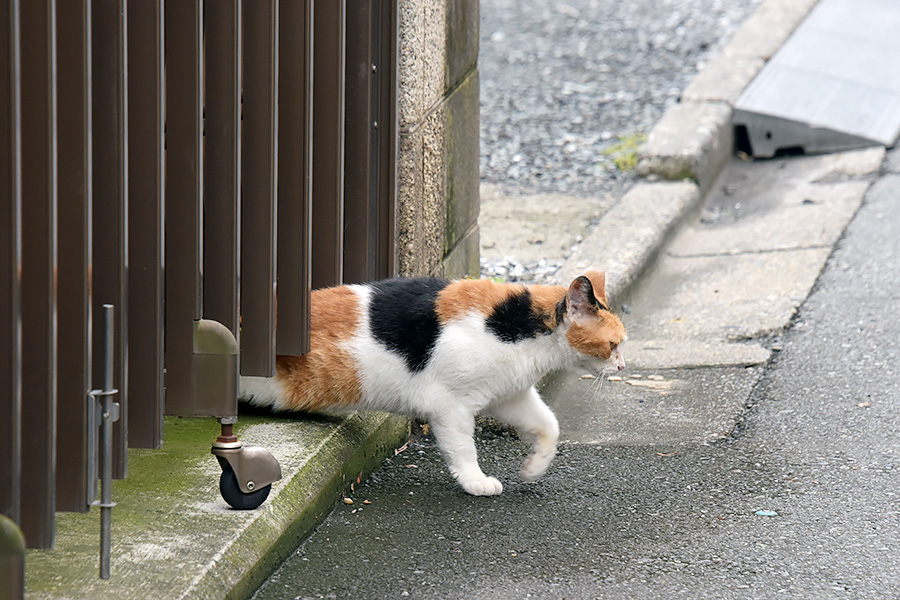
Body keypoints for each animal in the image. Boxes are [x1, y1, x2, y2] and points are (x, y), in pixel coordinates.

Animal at [239, 270, 624, 494]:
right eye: (614, 345)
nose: (622, 365)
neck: (523, 329)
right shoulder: (450, 405)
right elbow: (464, 447)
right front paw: (475, 482)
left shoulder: (509, 395)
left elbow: (549, 425)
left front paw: (534, 468)